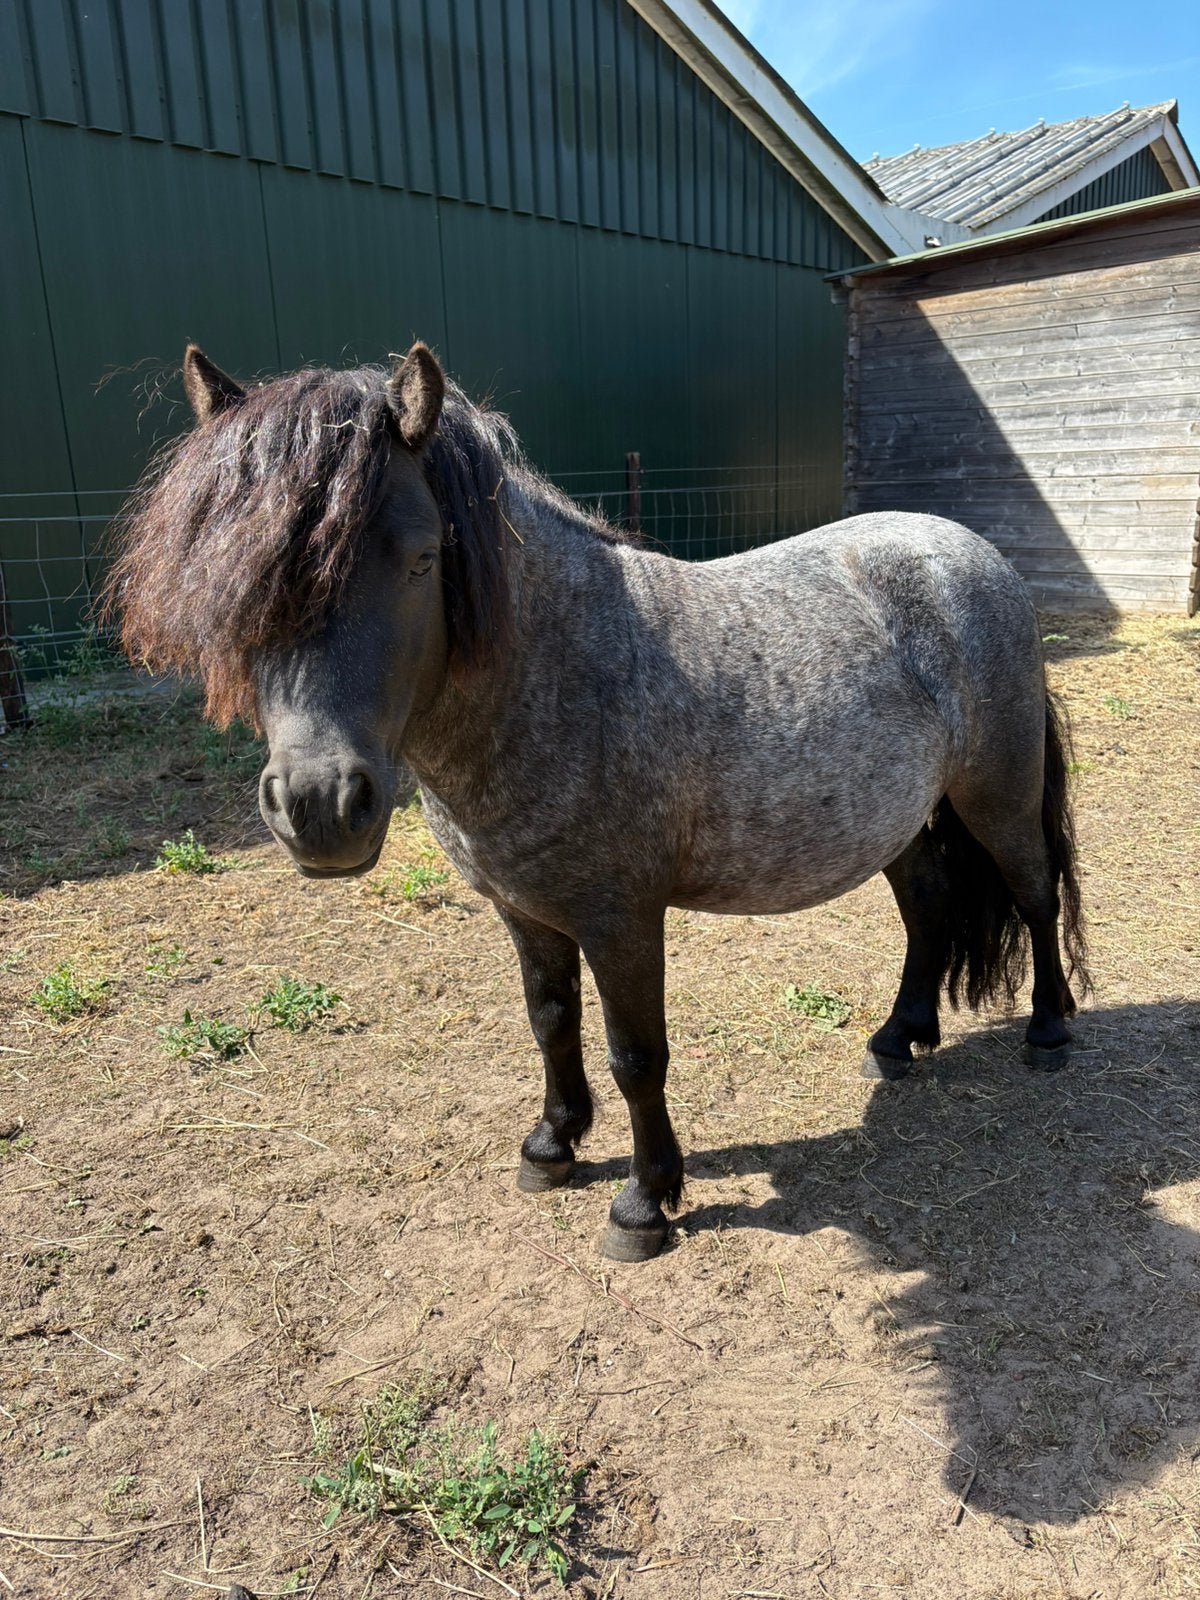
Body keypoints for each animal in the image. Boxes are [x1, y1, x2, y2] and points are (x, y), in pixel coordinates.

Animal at [106, 343, 1089, 1263]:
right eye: (234, 577)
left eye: (421, 559)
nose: (319, 805)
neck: (562, 675)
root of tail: (972, 554)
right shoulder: (525, 910)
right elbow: (551, 1022)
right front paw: (552, 1146)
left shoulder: (622, 918)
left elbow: (636, 1055)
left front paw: (644, 1202)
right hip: (901, 822)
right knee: (928, 908)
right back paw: (899, 1037)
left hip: (995, 797)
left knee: (1034, 893)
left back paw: (1048, 1030)